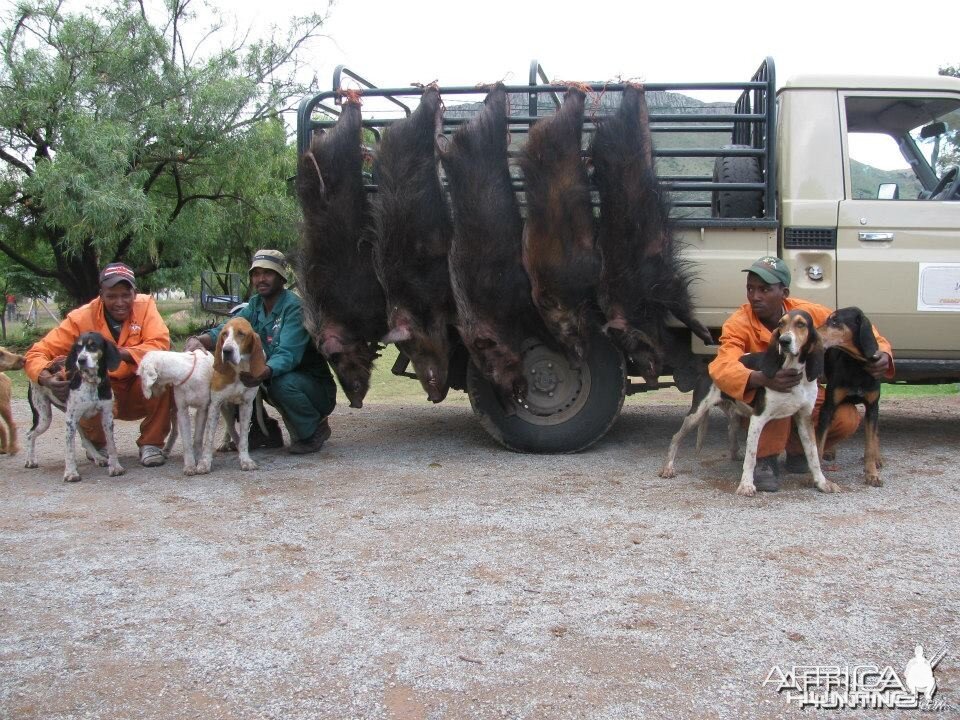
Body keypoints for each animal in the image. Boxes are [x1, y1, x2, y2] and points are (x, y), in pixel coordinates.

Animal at [194, 318, 266, 476]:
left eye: (241, 334)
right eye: (224, 334)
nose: (226, 351)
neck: (238, 370)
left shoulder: (247, 405)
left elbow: (244, 437)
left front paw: (245, 460)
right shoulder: (215, 404)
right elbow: (209, 438)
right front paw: (204, 463)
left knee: (231, 425)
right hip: (224, 406)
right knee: (229, 424)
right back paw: (225, 442)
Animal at [660, 310, 840, 496]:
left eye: (801, 324)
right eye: (781, 324)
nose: (784, 341)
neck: (792, 369)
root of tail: (711, 364)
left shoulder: (805, 419)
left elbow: (813, 455)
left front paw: (822, 482)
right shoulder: (759, 418)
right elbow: (752, 456)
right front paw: (746, 485)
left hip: (734, 412)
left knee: (731, 428)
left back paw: (735, 454)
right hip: (696, 413)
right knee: (676, 437)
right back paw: (668, 468)